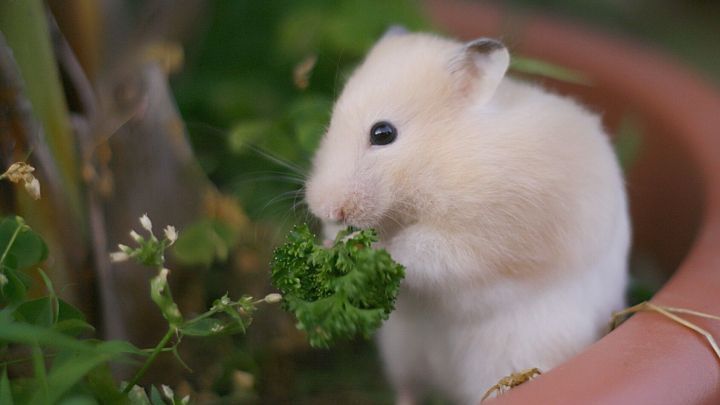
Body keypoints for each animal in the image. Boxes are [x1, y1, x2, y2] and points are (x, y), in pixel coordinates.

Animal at [305, 29, 629, 405]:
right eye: (330, 124)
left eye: (383, 133)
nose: (325, 208)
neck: (441, 157)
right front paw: (329, 241)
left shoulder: (479, 239)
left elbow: (417, 250)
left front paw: (362, 248)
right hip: (402, 351)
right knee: (408, 389)